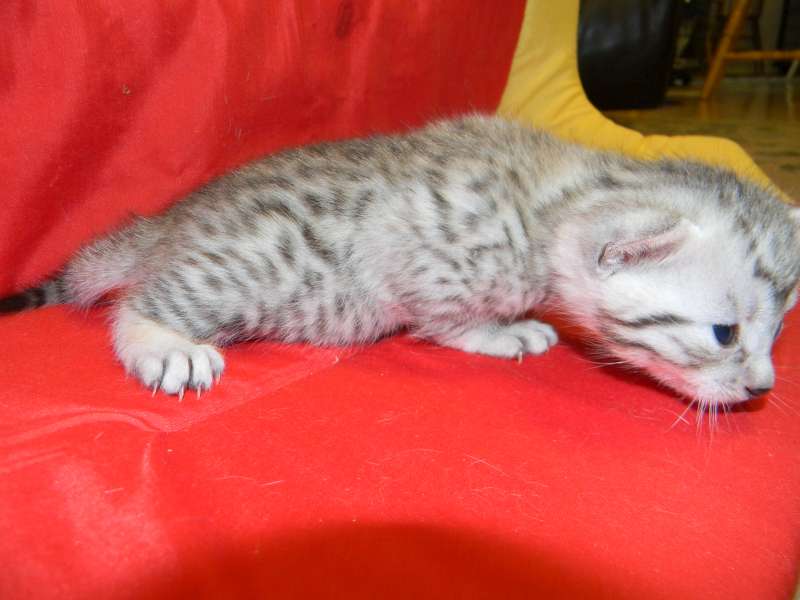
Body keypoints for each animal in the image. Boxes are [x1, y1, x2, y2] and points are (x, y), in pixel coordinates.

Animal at [2, 114, 799, 406]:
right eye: (725, 333)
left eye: (775, 335)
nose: (762, 386)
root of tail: (170, 220)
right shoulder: (415, 255)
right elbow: (444, 318)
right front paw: (502, 331)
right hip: (252, 269)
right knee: (141, 302)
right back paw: (165, 344)